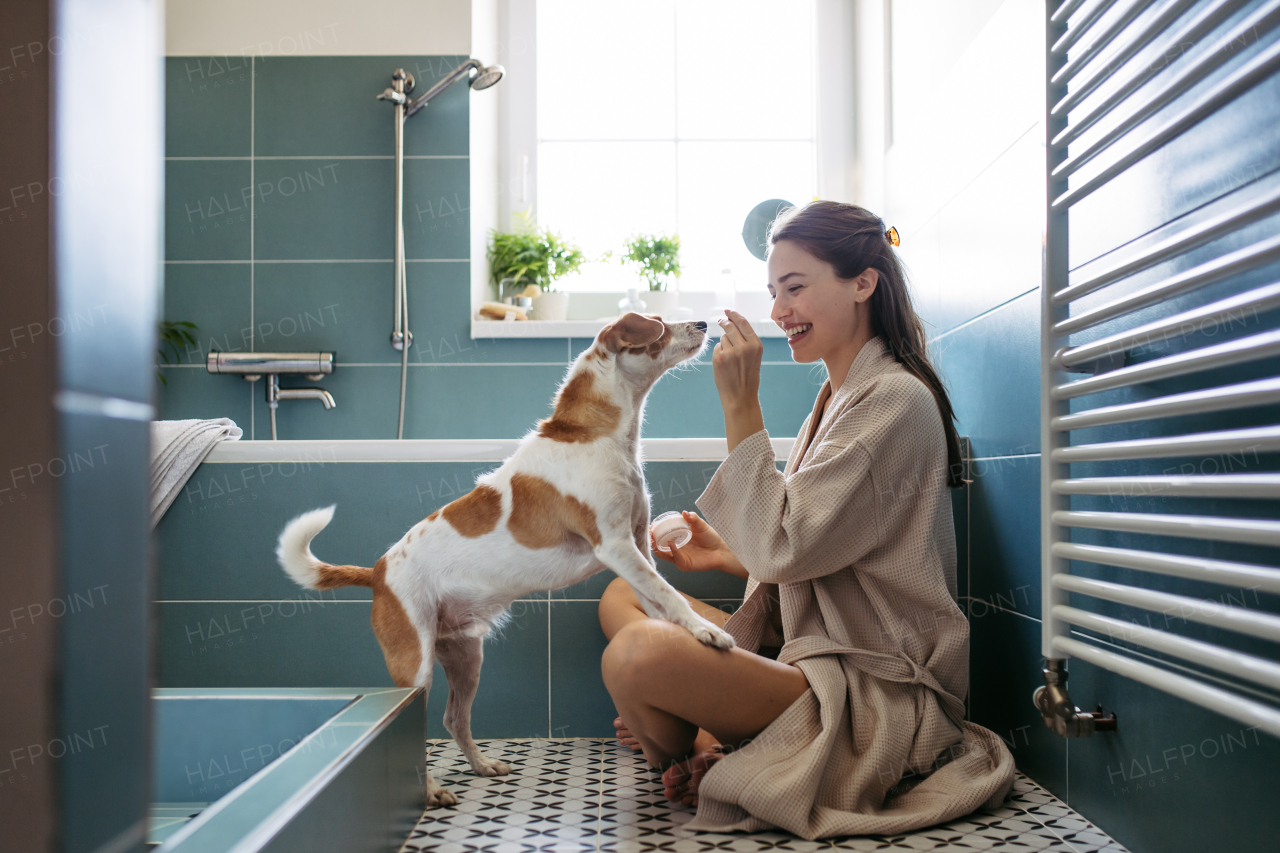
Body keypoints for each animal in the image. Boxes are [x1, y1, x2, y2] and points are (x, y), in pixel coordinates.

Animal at [277, 312, 742, 804]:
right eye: (659, 325)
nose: (703, 321)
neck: (592, 435)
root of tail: (379, 572)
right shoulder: (616, 546)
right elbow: (669, 594)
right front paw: (709, 632)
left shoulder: (638, 546)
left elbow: (660, 599)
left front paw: (685, 637)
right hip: (415, 665)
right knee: (414, 723)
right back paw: (431, 790)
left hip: (466, 659)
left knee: (453, 719)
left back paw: (481, 766)